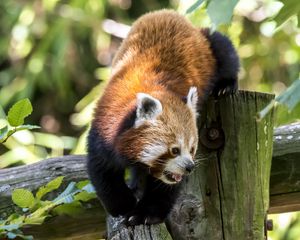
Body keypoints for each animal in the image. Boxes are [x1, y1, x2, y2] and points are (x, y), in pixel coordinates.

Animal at [86, 9, 239, 226]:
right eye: (174, 150)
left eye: (192, 149)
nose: (190, 167)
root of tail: (167, 12)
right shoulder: (104, 128)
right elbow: (103, 171)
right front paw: (123, 205)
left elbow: (165, 188)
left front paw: (145, 213)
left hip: (209, 45)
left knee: (224, 48)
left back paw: (225, 85)